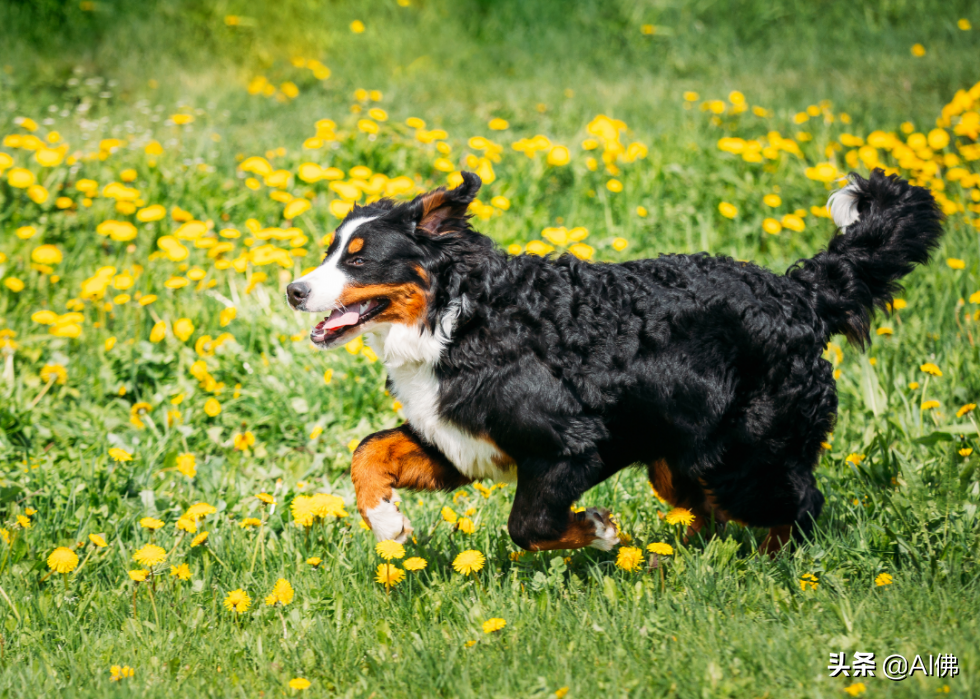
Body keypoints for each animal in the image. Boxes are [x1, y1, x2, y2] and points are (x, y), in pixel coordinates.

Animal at [288, 168, 944, 552]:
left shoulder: (572, 444)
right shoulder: (456, 441)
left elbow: (531, 526)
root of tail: (799, 291)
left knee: (801, 504)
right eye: (329, 251)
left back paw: (773, 565)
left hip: (744, 458)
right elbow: (368, 452)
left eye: (359, 259)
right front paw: (387, 523)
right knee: (713, 513)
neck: (459, 320)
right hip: (681, 462)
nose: (294, 290)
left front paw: (599, 532)